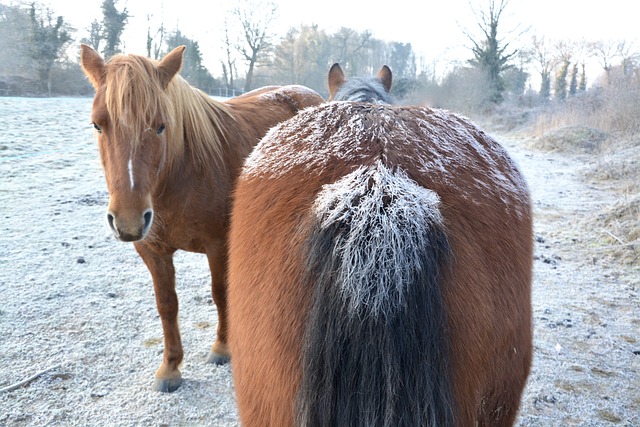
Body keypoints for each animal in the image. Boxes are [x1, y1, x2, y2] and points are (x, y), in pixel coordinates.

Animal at [79, 45, 324, 392]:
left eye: (160, 125)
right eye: (97, 125)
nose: (128, 221)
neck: (181, 172)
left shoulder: (218, 245)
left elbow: (220, 293)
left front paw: (222, 348)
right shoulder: (152, 251)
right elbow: (166, 304)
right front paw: (170, 368)